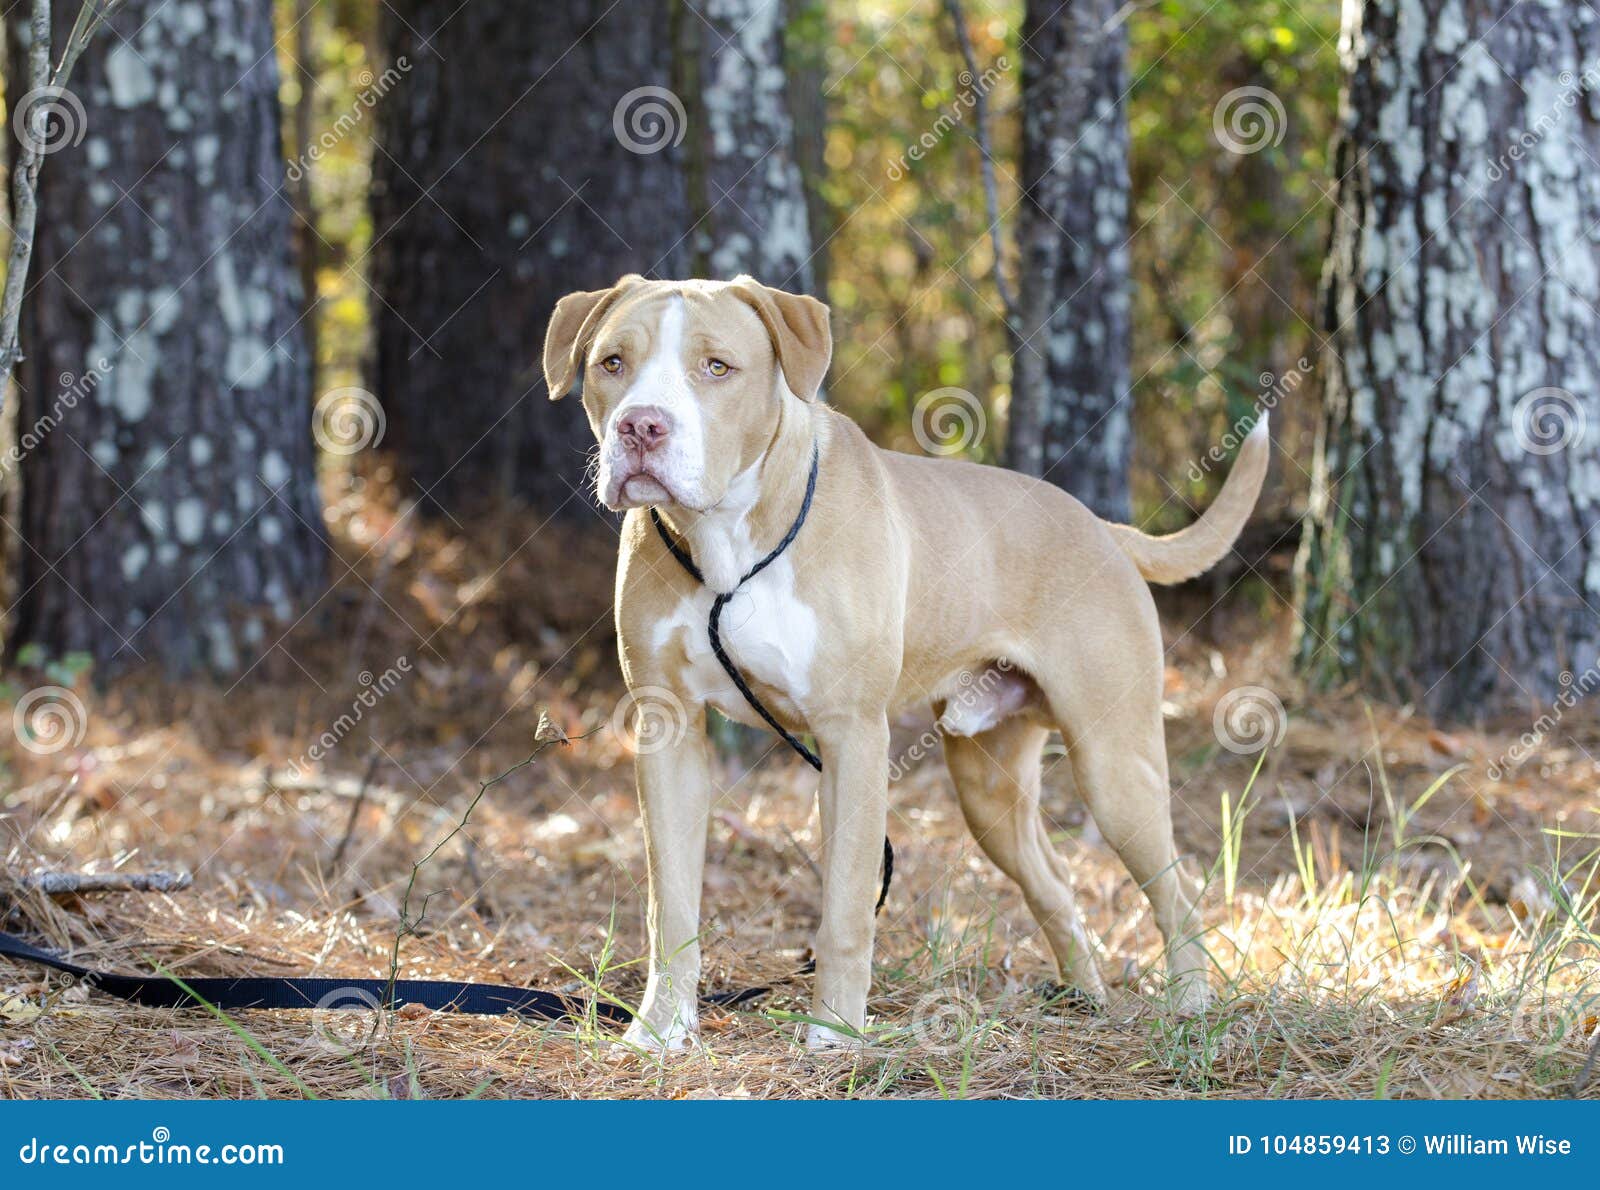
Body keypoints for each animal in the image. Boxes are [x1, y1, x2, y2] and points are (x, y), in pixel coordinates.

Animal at [544, 273, 1267, 1042]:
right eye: (612, 363)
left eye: (717, 367)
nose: (641, 427)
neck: (730, 543)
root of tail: (1103, 528)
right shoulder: (670, 730)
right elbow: (671, 904)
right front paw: (661, 1031)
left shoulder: (852, 737)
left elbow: (846, 909)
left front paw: (834, 1034)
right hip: (988, 786)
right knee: (1055, 884)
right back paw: (1085, 997)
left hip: (1113, 765)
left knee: (1176, 888)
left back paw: (1190, 1005)